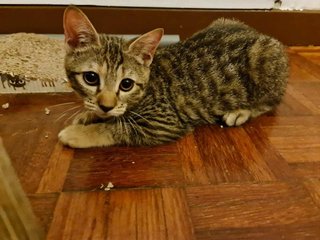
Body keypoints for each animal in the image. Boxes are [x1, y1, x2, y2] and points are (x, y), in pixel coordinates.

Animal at [58, 6, 288, 148]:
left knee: (271, 101)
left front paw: (79, 133)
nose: (106, 106)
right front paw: (88, 114)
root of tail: (258, 33)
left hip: (264, 57)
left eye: (126, 84)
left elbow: (116, 127)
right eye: (91, 78)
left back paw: (240, 111)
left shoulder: (163, 122)